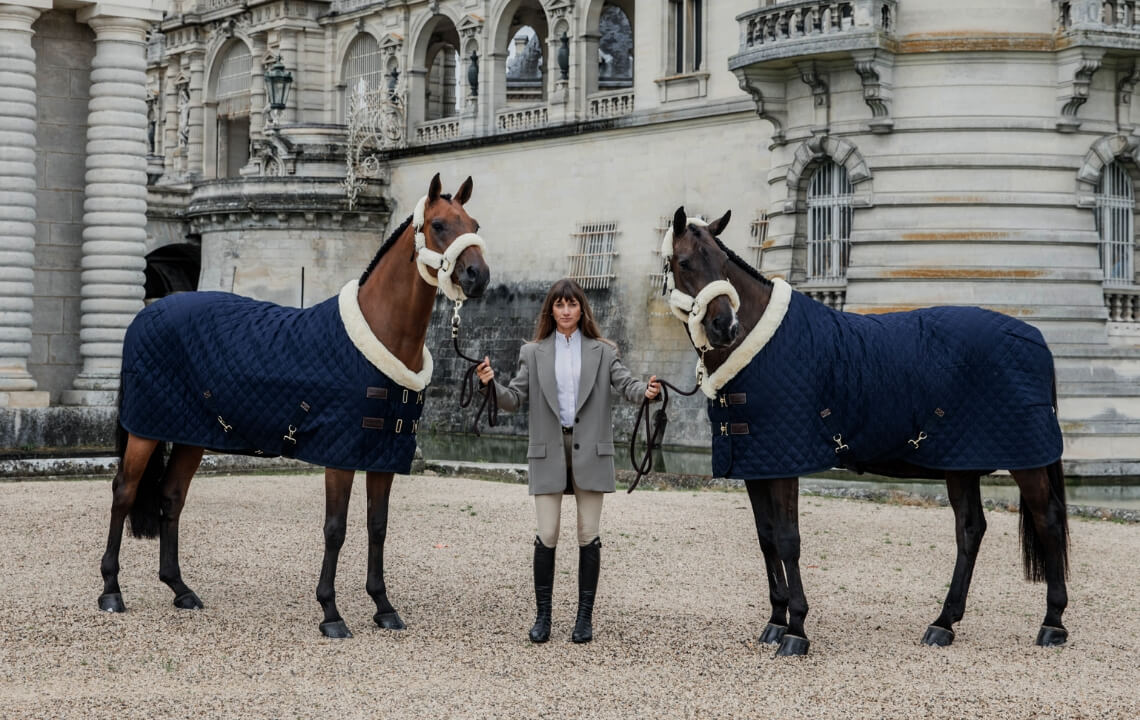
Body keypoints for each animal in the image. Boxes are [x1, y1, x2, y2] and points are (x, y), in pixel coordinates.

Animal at [99, 173, 490, 633]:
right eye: (439, 225)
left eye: (475, 224)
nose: (478, 276)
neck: (379, 334)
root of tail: (148, 312)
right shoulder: (340, 456)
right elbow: (335, 529)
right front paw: (331, 613)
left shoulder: (383, 455)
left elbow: (377, 527)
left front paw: (384, 607)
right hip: (145, 431)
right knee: (124, 492)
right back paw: (111, 590)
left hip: (190, 436)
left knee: (171, 497)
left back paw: (180, 589)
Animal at [661, 206, 1067, 656]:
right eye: (684, 263)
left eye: (722, 262)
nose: (725, 327)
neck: (760, 346)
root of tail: (1034, 337)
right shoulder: (756, 464)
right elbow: (766, 537)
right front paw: (775, 620)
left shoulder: (784, 466)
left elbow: (788, 539)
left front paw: (797, 629)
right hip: (961, 463)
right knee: (970, 530)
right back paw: (943, 623)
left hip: (1025, 461)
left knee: (1047, 520)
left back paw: (1052, 622)